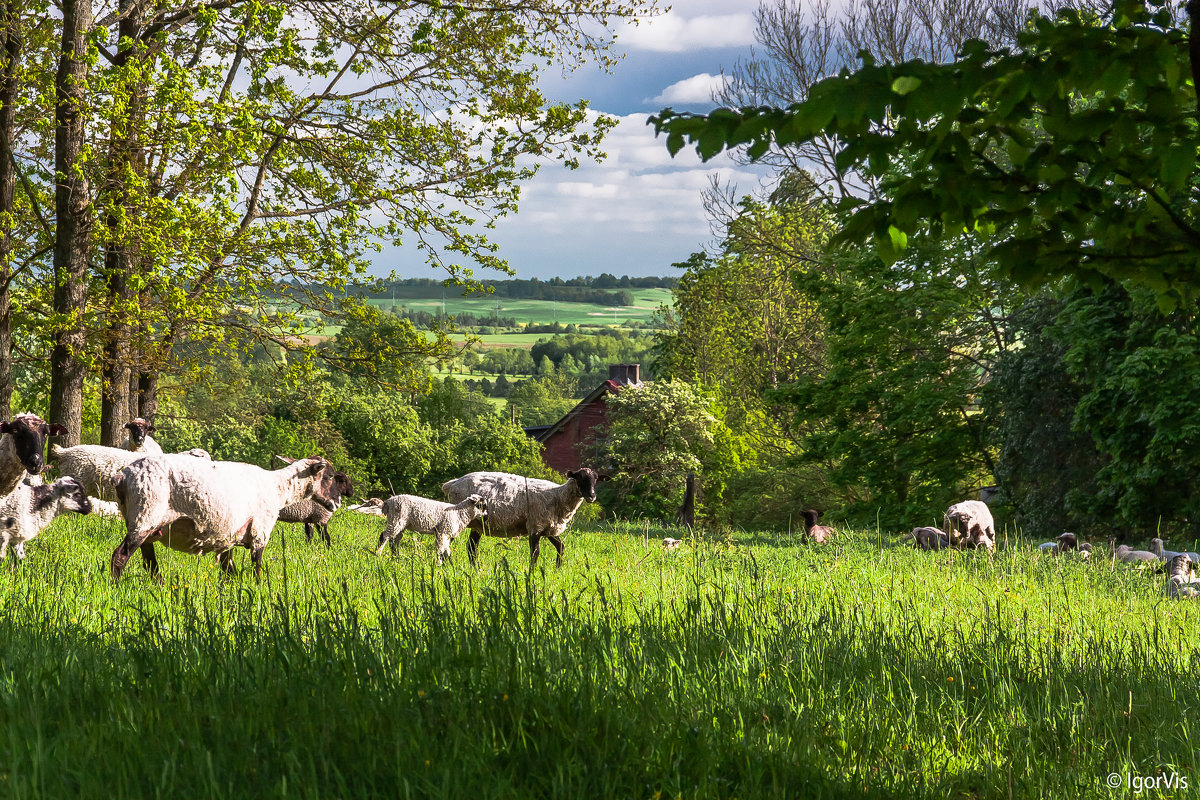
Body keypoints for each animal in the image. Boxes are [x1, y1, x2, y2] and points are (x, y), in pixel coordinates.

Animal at [441, 465, 609, 566]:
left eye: (595, 479)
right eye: (580, 478)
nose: (592, 496)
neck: (558, 496)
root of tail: (452, 484)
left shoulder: (548, 528)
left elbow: (560, 547)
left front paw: (557, 569)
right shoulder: (535, 526)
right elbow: (535, 553)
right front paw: (532, 574)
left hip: (478, 524)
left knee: (471, 547)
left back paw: (475, 569)